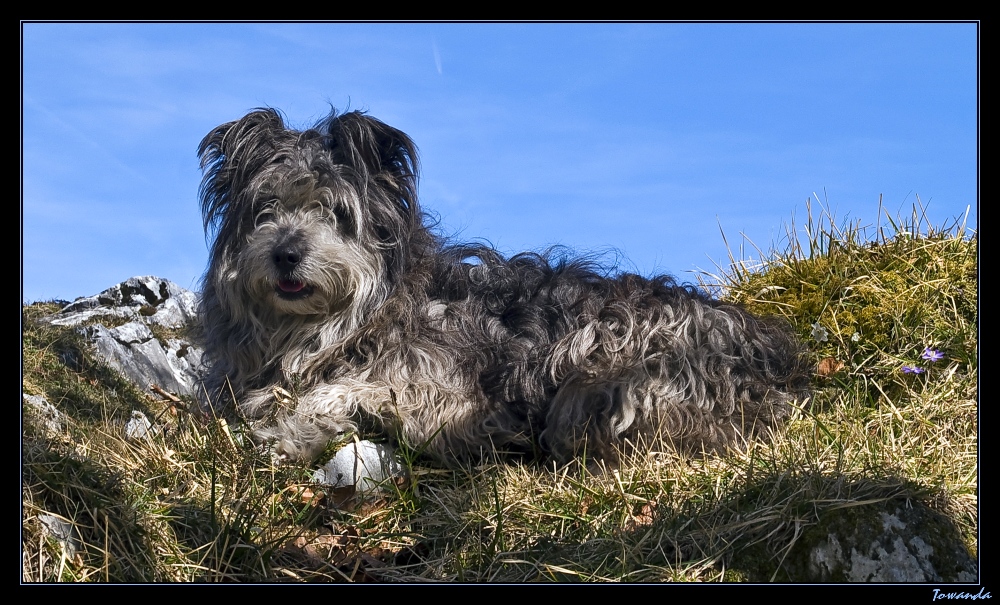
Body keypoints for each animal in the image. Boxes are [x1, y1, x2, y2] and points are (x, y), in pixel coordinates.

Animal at [197, 107, 812, 468]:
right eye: (266, 209)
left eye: (336, 212)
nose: (286, 254)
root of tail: (773, 358)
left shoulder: (444, 391)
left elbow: (345, 390)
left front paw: (288, 427)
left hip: (603, 363)